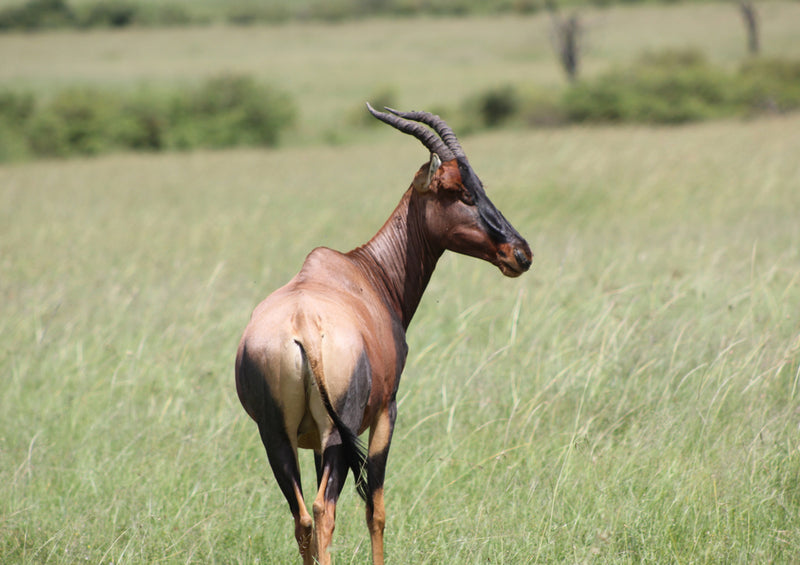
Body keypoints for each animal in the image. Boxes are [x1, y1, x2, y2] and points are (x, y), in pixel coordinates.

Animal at [236, 103, 532, 560]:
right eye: (462, 192)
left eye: (480, 185)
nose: (520, 253)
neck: (363, 272)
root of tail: (303, 327)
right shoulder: (386, 412)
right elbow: (376, 510)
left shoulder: (310, 439)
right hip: (335, 433)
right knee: (324, 511)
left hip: (276, 436)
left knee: (303, 517)